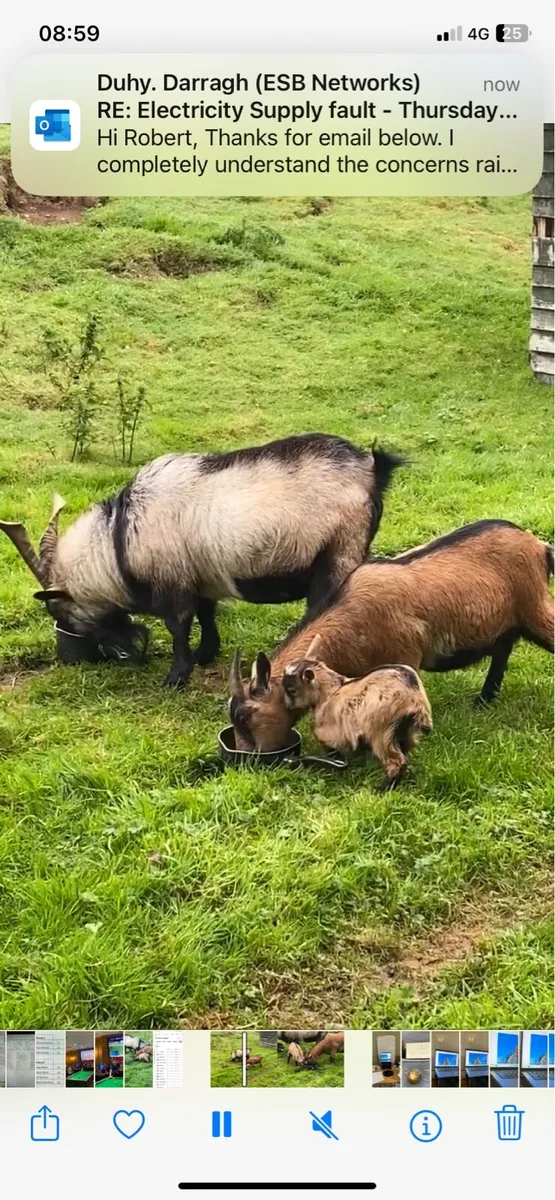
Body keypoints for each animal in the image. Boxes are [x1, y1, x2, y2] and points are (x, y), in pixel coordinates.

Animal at [0, 436, 402, 688]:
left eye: (59, 612)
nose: (129, 652)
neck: (119, 539)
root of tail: (372, 470)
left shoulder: (173, 583)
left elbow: (178, 626)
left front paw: (176, 677)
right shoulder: (201, 577)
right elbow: (207, 615)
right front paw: (206, 654)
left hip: (339, 553)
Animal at [229, 520, 554, 751]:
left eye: (244, 716)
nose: (244, 758)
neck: (351, 618)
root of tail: (539, 547)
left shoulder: (406, 656)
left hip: (535, 608)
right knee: (503, 648)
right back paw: (484, 700)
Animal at [282, 639, 432, 789]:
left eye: (292, 690)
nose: (288, 705)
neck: (331, 691)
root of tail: (415, 699)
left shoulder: (331, 732)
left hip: (381, 730)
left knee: (396, 761)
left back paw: (381, 788)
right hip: (404, 731)